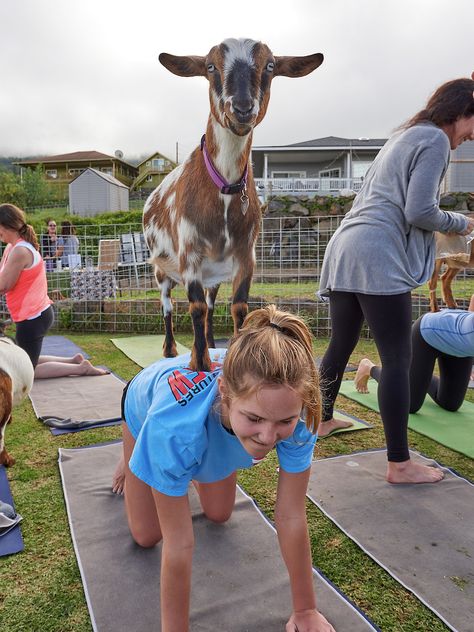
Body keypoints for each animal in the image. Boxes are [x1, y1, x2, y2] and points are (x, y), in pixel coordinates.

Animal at [143, 38, 324, 370]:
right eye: (210, 66)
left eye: (270, 65)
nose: (241, 109)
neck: (225, 188)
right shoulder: (190, 253)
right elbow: (195, 308)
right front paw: (199, 363)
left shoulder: (245, 253)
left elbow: (239, 306)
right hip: (162, 269)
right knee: (168, 306)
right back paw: (171, 349)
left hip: (214, 272)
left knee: (212, 305)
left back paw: (213, 342)